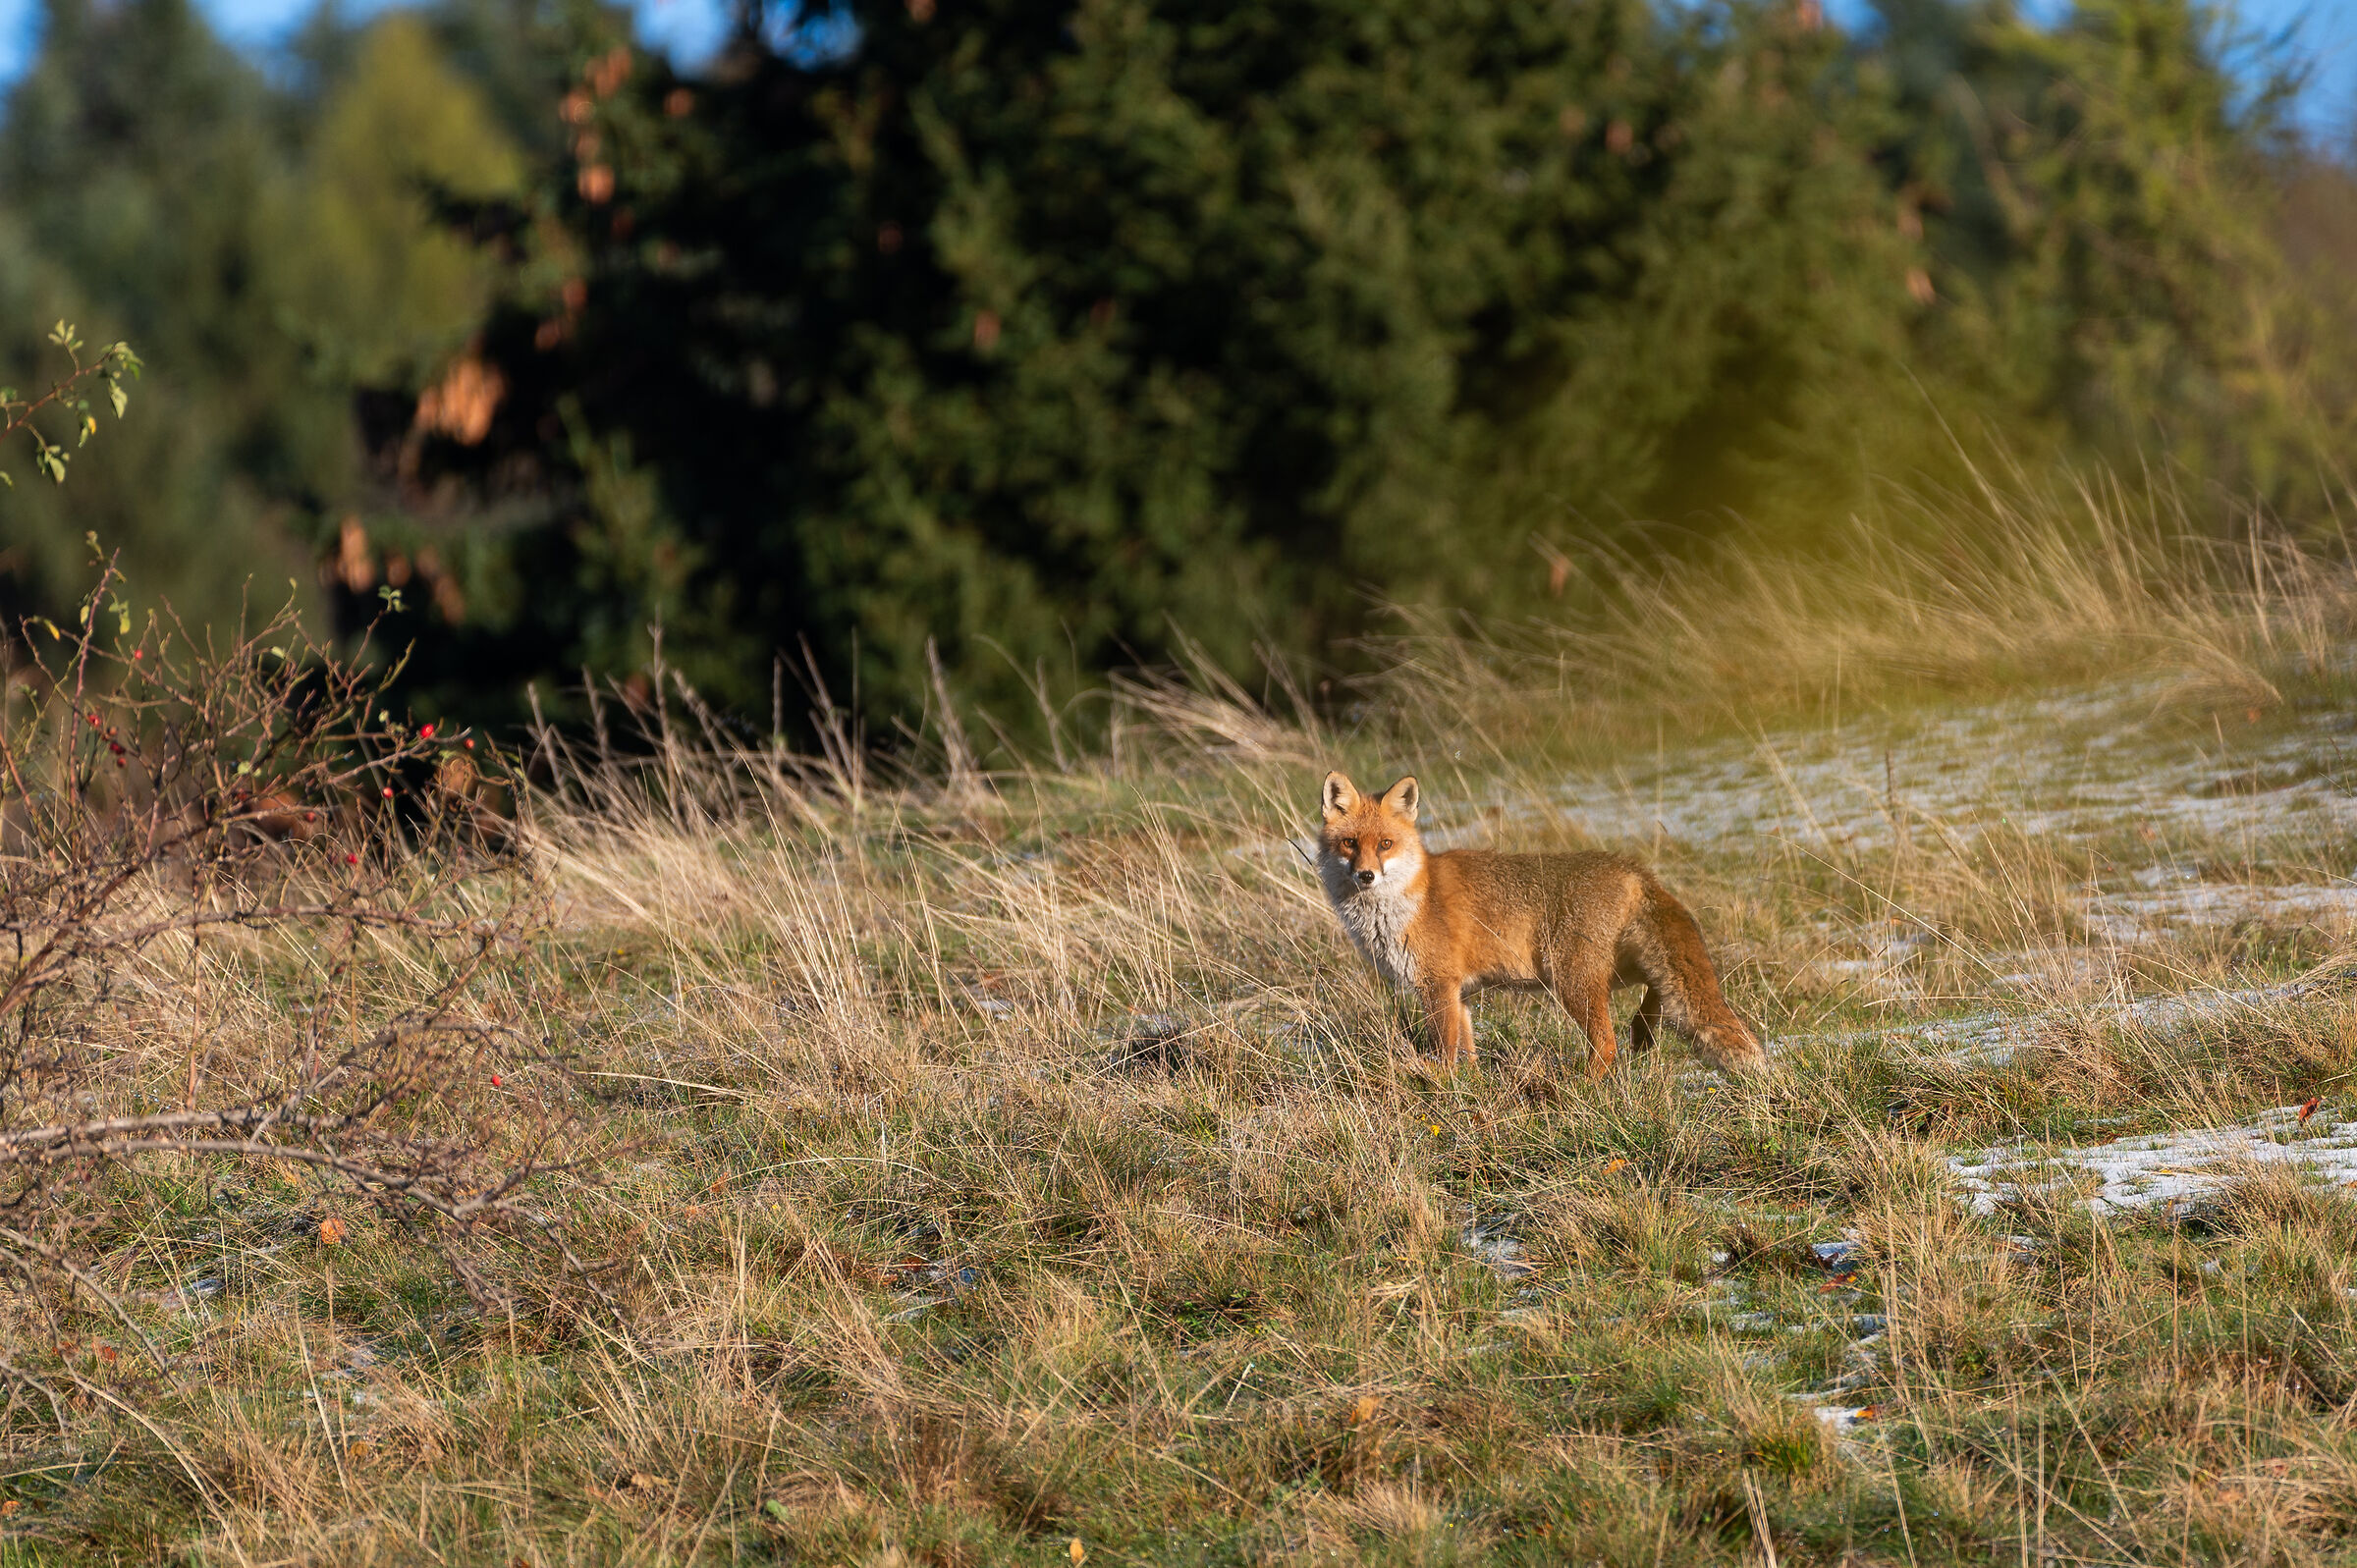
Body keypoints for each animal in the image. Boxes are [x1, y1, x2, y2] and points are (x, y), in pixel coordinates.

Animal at [1316, 771, 1768, 1079]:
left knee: (1608, 1045)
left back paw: (1583, 1087)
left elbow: (1444, 1053)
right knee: (1659, 993)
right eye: (1350, 843)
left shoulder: (1438, 986)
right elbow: (1468, 1053)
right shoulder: (1459, 994)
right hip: (1613, 970)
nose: (1366, 876)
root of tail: (1633, 868)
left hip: (1572, 980)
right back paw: (1642, 1033)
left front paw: (1441, 1088)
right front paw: (1471, 1086)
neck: (1407, 902)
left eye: (1385, 845)